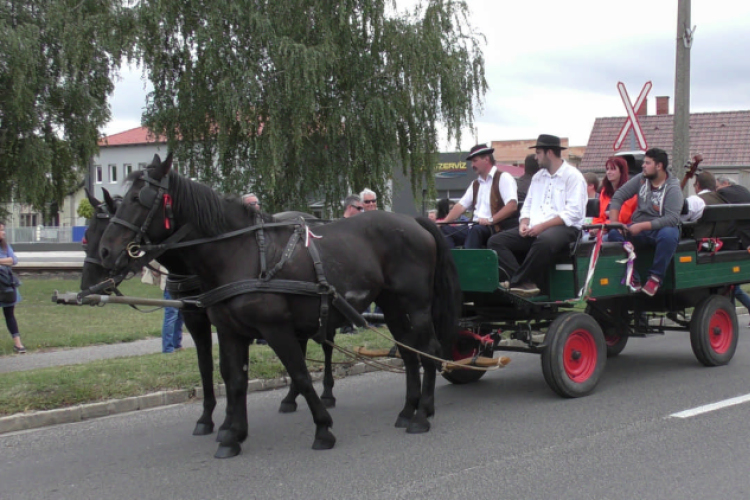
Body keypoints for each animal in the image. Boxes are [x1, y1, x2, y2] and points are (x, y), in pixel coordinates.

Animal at [97, 154, 462, 458]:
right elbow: (235, 379)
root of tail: (415, 221)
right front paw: (232, 436)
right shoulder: (230, 332)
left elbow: (299, 373)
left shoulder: (275, 328)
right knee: (409, 352)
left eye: (138, 200)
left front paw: (323, 428)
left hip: (416, 305)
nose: (104, 251)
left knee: (429, 350)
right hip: (391, 305)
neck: (240, 252)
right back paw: (408, 410)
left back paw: (422, 414)